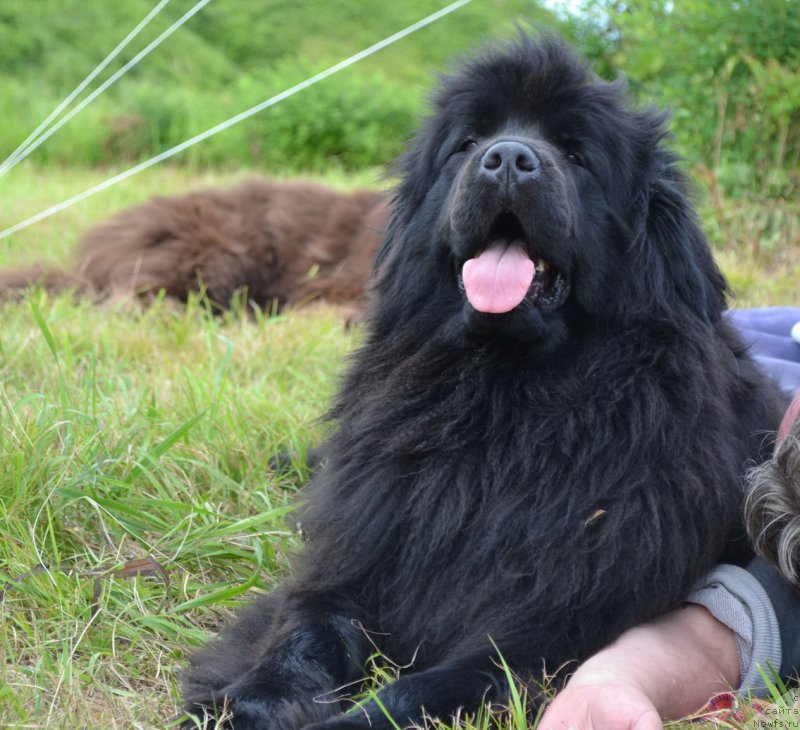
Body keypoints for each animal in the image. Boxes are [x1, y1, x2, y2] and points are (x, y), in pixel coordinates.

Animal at [181, 32, 780, 724]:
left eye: (576, 154)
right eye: (467, 143)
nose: (509, 158)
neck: (501, 397)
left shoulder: (545, 634)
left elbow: (414, 690)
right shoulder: (358, 562)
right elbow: (304, 633)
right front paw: (247, 703)